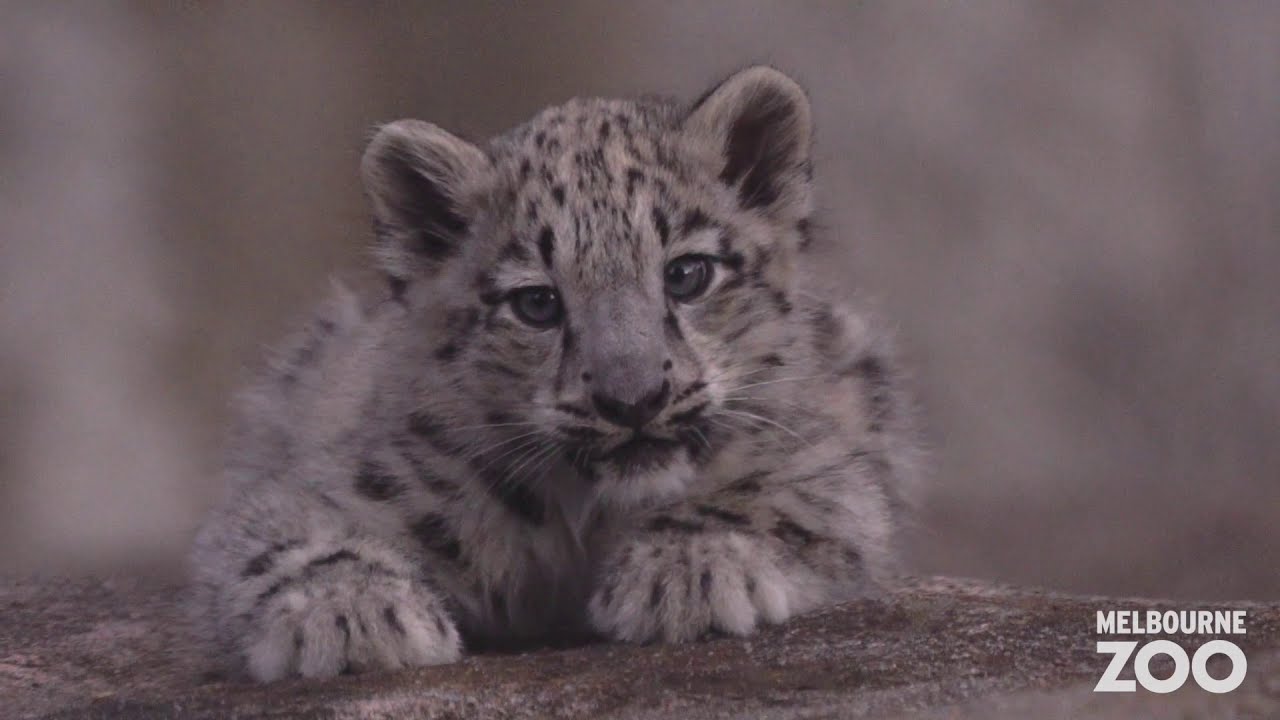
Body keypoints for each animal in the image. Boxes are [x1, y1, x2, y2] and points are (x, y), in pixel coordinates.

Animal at [188, 66, 923, 682]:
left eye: (687, 273)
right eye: (537, 303)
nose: (633, 399)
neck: (584, 522)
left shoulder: (824, 461)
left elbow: (779, 496)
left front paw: (689, 572)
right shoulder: (328, 487)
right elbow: (285, 540)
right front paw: (348, 612)